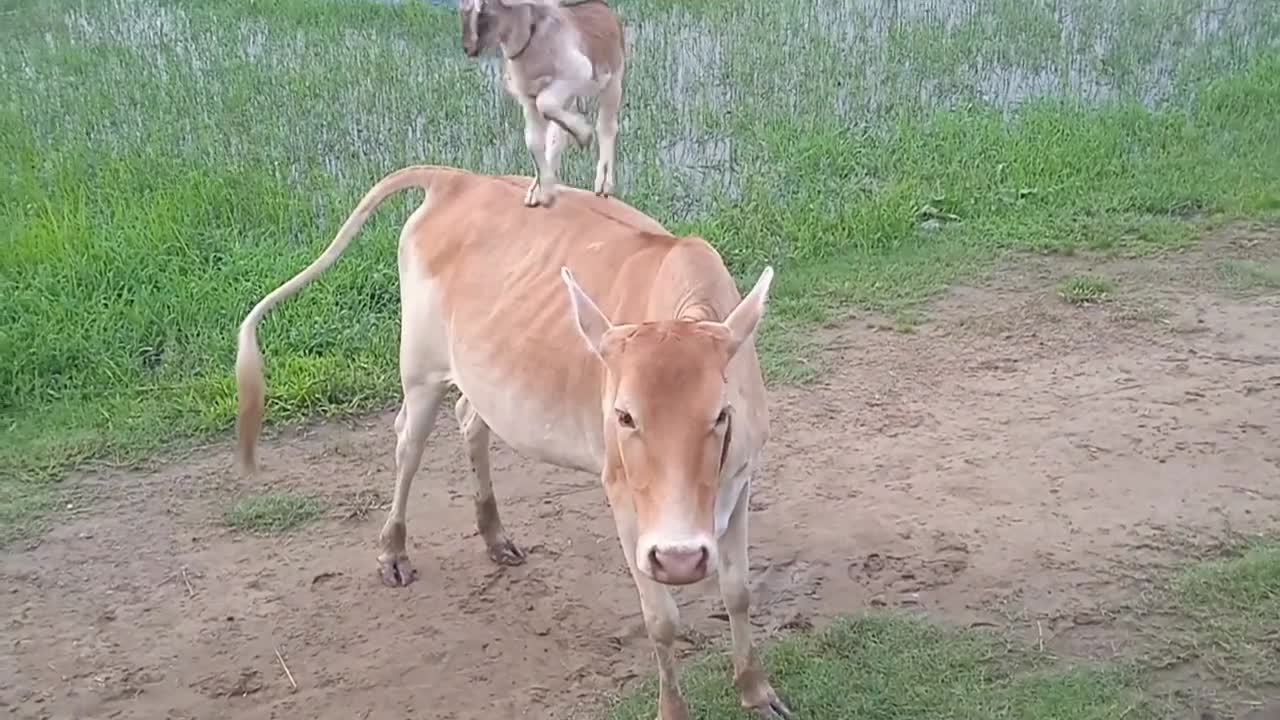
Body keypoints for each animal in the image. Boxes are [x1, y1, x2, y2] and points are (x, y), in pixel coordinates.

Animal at [234, 165, 783, 712]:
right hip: (420, 368)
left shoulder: (741, 479)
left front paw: (755, 689)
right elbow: (661, 620)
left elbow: (738, 591)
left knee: (469, 420)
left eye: (721, 415)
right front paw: (674, 709)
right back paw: (393, 551)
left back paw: (494, 534)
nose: (679, 558)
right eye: (624, 416)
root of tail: (455, 178)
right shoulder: (623, 494)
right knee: (408, 445)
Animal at [460, 0, 624, 208]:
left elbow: (545, 104)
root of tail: (603, 7)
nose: (468, 48)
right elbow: (533, 140)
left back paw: (603, 184)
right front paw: (544, 193)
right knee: (557, 135)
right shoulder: (528, 98)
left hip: (613, 80)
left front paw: (585, 135)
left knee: (606, 126)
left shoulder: (578, 72)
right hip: (570, 97)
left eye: (483, 10)